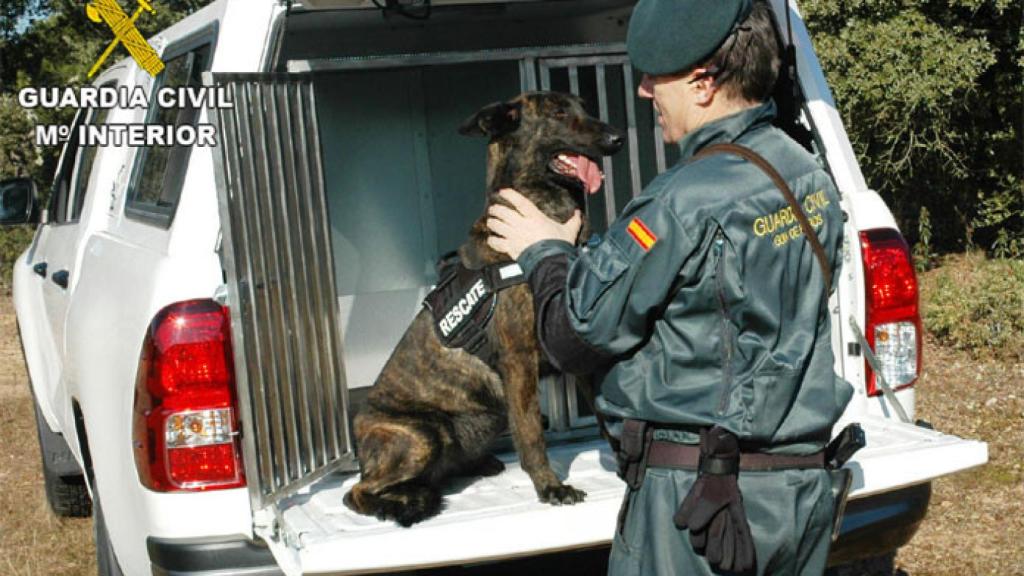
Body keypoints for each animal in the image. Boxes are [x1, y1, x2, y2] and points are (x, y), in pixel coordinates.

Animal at [344, 93, 622, 524]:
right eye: (559, 113)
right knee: (356, 492)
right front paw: (550, 488)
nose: (617, 138)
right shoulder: (519, 359)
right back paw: (403, 502)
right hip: (423, 433)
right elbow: (531, 433)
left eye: (584, 107)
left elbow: (605, 420)